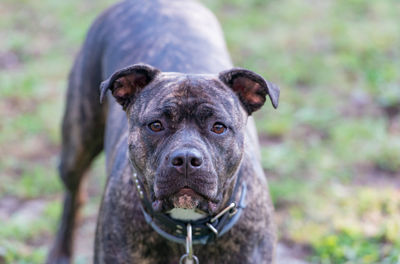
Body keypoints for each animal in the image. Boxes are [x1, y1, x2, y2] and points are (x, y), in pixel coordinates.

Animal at [47, 0, 280, 264]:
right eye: (156, 125)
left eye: (218, 127)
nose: (187, 159)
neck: (187, 228)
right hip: (77, 143)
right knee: (73, 192)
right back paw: (60, 252)